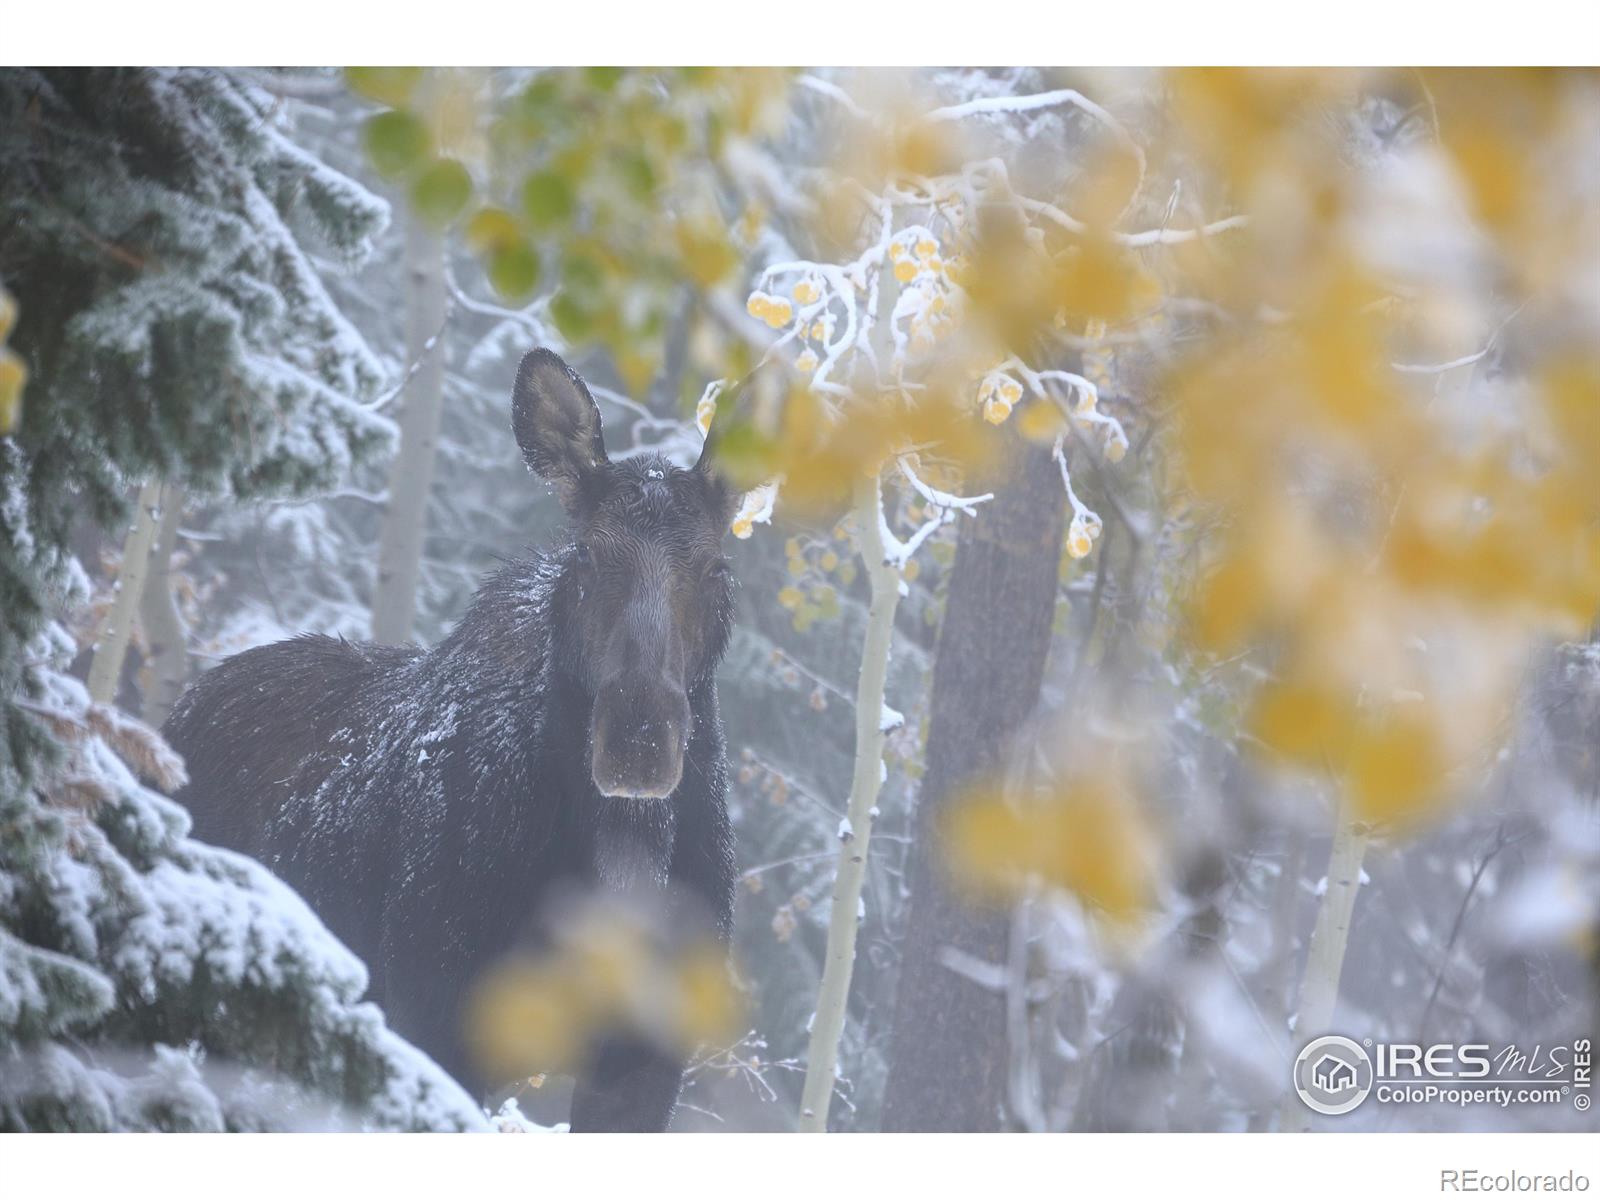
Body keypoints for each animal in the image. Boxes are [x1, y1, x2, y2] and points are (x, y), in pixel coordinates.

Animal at [165, 350, 739, 1139]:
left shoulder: (642, 1069)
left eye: (717, 569)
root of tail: (178, 711)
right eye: (587, 558)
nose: (638, 739)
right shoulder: (436, 1018)